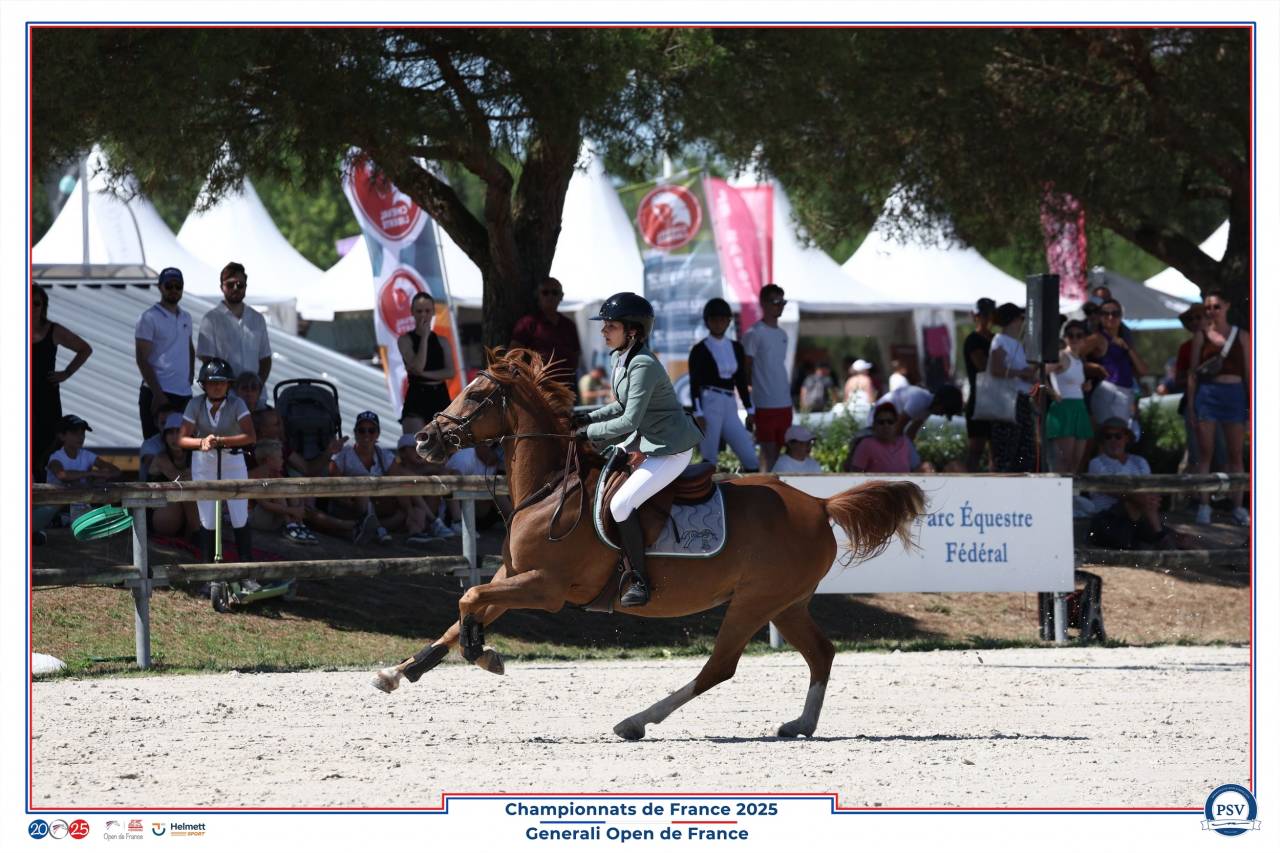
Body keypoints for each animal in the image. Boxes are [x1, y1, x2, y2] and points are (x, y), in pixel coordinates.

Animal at [372, 349, 925, 740]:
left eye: (476, 395)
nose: (423, 440)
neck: (549, 487)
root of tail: (819, 504)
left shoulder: (545, 588)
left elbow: (468, 599)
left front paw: (483, 655)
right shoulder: (512, 577)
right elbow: (461, 613)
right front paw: (399, 673)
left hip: (754, 602)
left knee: (719, 667)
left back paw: (636, 721)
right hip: (785, 604)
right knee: (821, 654)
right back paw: (800, 725)